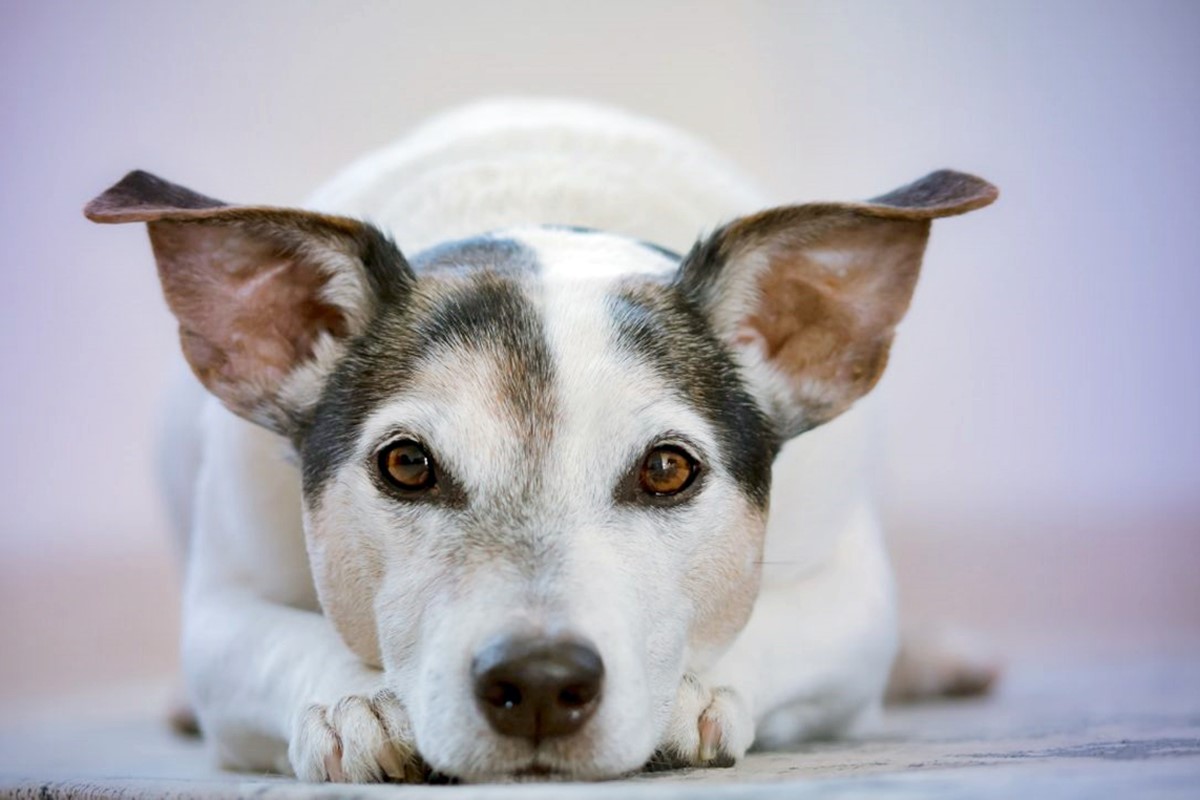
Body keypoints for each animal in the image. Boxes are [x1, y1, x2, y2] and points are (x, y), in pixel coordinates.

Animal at [87, 98, 993, 782]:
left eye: (668, 469)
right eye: (406, 464)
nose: (542, 682)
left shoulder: (852, 599)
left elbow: (777, 627)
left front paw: (691, 693)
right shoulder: (222, 605)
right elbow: (274, 641)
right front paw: (357, 702)